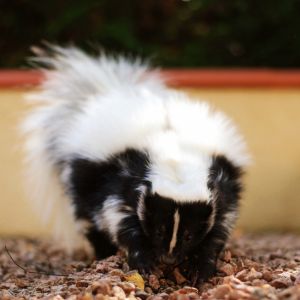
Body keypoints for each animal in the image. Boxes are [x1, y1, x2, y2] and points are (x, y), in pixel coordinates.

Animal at [22, 46, 250, 284]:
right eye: (159, 230)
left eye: (189, 235)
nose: (169, 257)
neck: (176, 154)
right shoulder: (121, 175)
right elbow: (119, 216)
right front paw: (143, 261)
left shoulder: (222, 181)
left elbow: (219, 226)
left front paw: (201, 267)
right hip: (83, 177)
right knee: (89, 220)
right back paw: (103, 254)